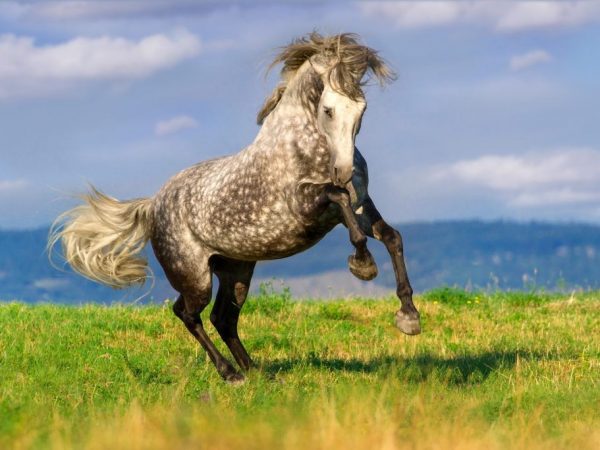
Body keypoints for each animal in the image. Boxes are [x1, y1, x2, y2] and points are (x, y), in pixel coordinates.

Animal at [51, 32, 422, 384]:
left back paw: (257, 370)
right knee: (188, 313)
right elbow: (341, 203)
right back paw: (231, 374)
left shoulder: (360, 206)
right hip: (195, 276)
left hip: (236, 269)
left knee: (223, 317)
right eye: (328, 109)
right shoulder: (305, 206)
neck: (303, 146)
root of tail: (153, 205)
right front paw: (363, 265)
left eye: (361, 109)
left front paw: (409, 317)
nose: (342, 171)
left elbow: (391, 237)